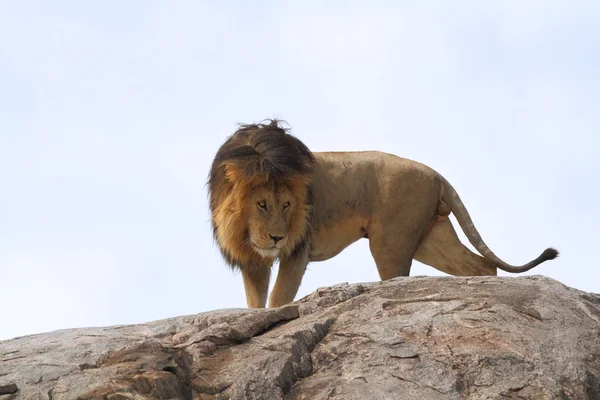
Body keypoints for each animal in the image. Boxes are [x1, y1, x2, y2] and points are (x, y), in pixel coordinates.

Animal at [209, 120, 560, 308]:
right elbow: (255, 302)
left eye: (286, 205)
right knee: (482, 265)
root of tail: (437, 175)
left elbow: (278, 299)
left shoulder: (298, 251)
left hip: (390, 243)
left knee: (400, 276)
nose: (277, 237)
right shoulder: (252, 259)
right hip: (433, 238)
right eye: (261, 204)